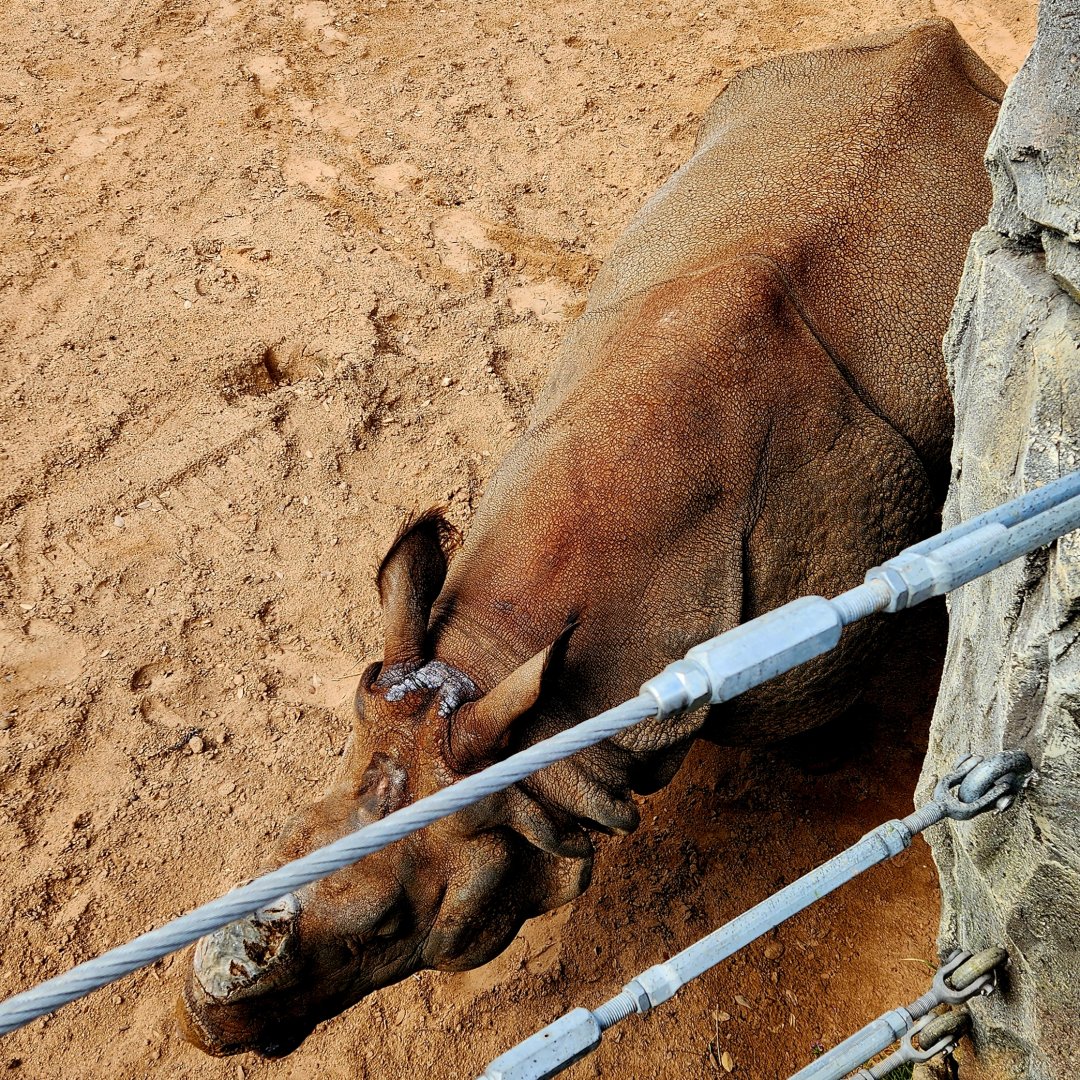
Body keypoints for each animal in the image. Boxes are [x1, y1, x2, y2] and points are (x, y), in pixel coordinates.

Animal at [178, 19, 1003, 1057]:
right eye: (287, 839)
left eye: (391, 931)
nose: (201, 1022)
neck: (513, 672)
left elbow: (814, 726)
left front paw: (826, 766)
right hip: (769, 92)